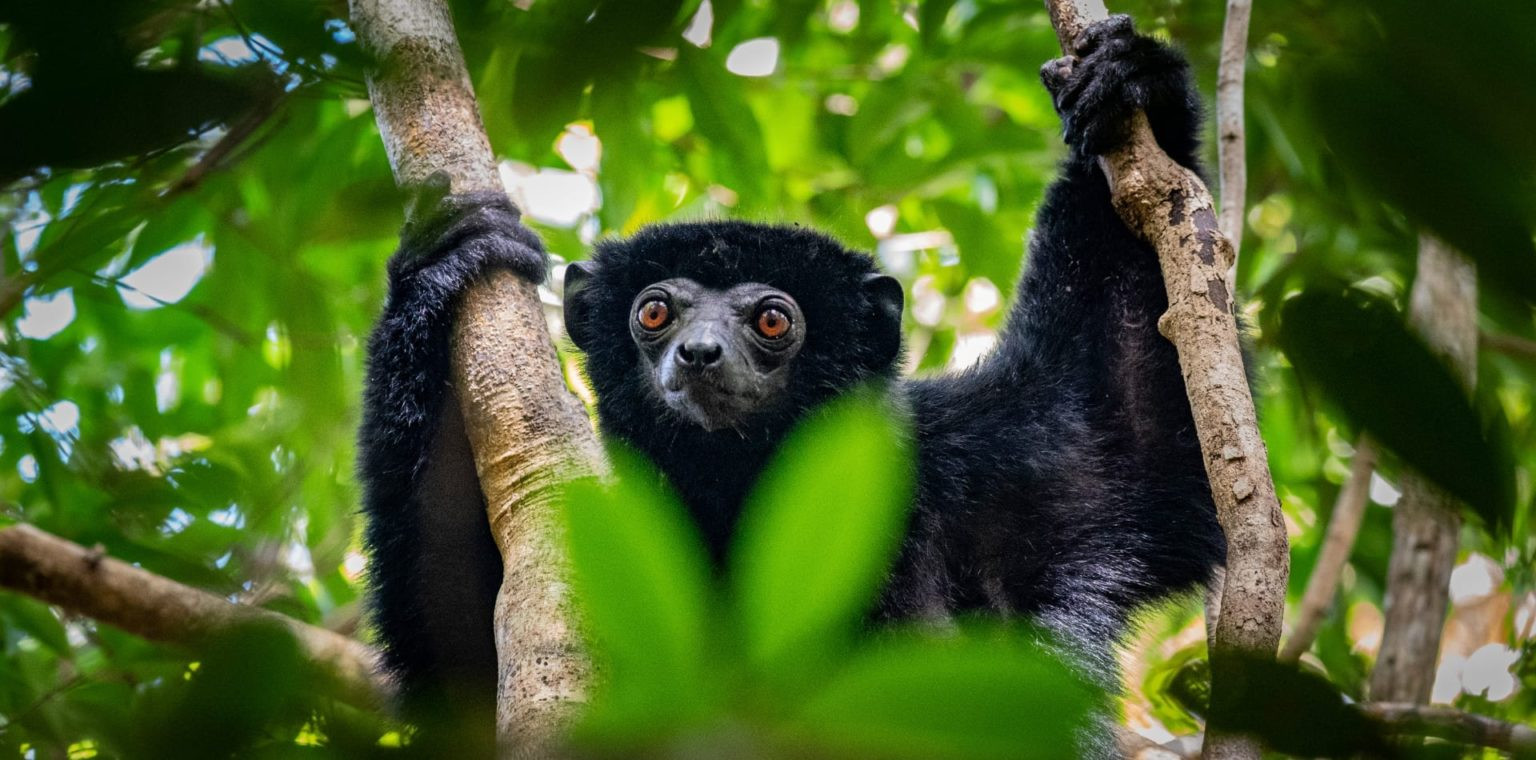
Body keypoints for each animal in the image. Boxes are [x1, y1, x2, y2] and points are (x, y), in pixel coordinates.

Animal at [359, 15, 1224, 757]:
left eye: (772, 321)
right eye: (655, 312)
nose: (700, 353)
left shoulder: (974, 460)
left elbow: (1128, 438)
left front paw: (1134, 83)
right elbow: (460, 663)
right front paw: (437, 276)